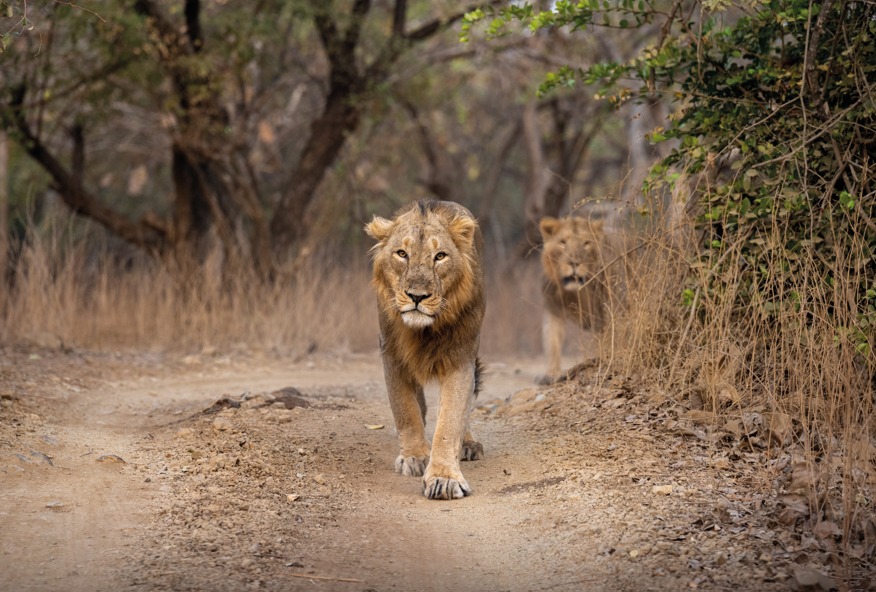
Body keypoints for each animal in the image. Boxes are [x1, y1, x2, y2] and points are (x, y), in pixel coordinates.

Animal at [365, 200, 486, 500]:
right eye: (401, 254)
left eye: (440, 256)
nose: (417, 296)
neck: (423, 331)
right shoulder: (392, 355)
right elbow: (405, 410)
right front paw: (415, 456)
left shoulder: (461, 357)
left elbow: (451, 418)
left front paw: (444, 478)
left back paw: (468, 445)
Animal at [538, 215, 622, 383]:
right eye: (563, 242)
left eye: (586, 243)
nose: (574, 262)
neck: (577, 292)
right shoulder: (553, 310)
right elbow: (552, 342)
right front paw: (552, 373)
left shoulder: (607, 311)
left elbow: (608, 339)